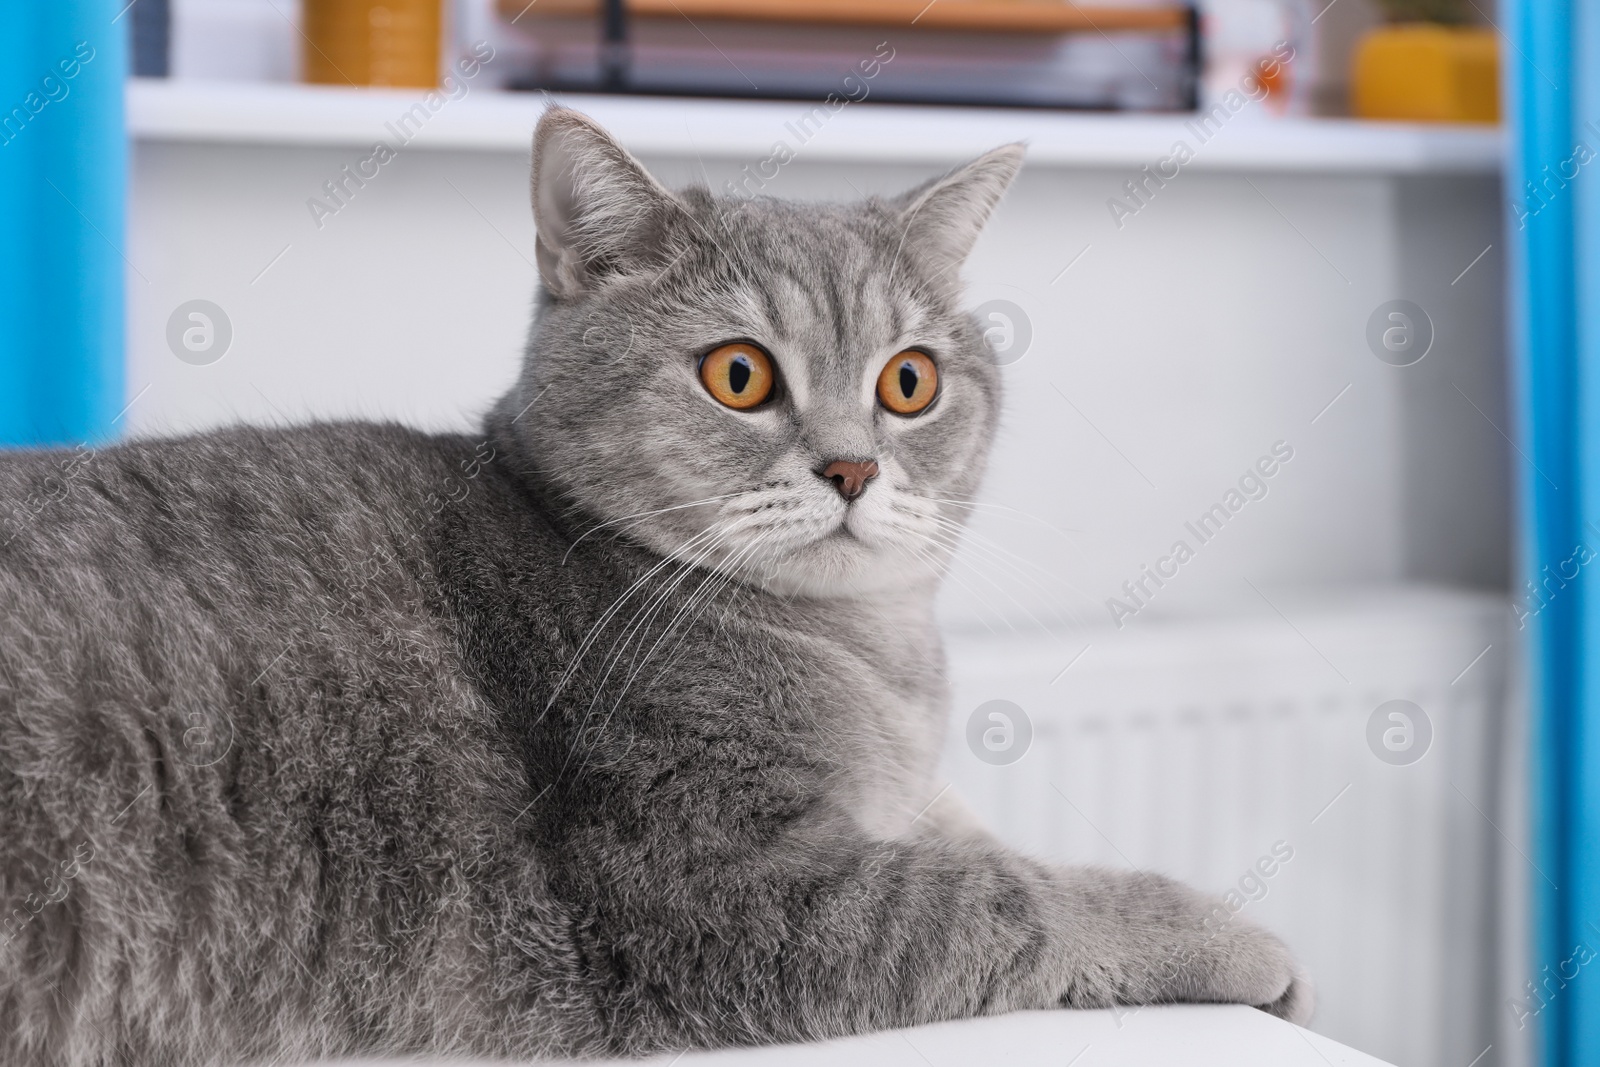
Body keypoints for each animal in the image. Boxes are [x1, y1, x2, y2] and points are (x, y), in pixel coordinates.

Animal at [0, 102, 1305, 1067]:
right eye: (738, 374)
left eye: (911, 380)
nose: (852, 465)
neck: (865, 651)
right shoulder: (707, 893)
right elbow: (1009, 895)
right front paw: (1229, 934)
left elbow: (970, 831)